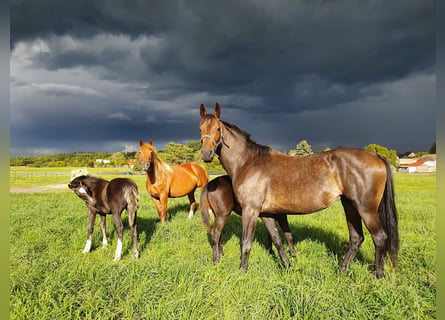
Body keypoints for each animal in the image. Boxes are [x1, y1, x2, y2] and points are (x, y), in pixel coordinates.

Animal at [199, 104, 398, 278]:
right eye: (200, 128)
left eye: (217, 129)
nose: (206, 155)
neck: (249, 162)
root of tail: (376, 155)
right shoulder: (265, 213)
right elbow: (277, 240)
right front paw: (287, 266)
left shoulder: (251, 210)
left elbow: (246, 243)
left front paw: (242, 272)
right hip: (350, 206)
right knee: (357, 238)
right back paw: (342, 269)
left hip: (366, 209)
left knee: (380, 237)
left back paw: (378, 275)